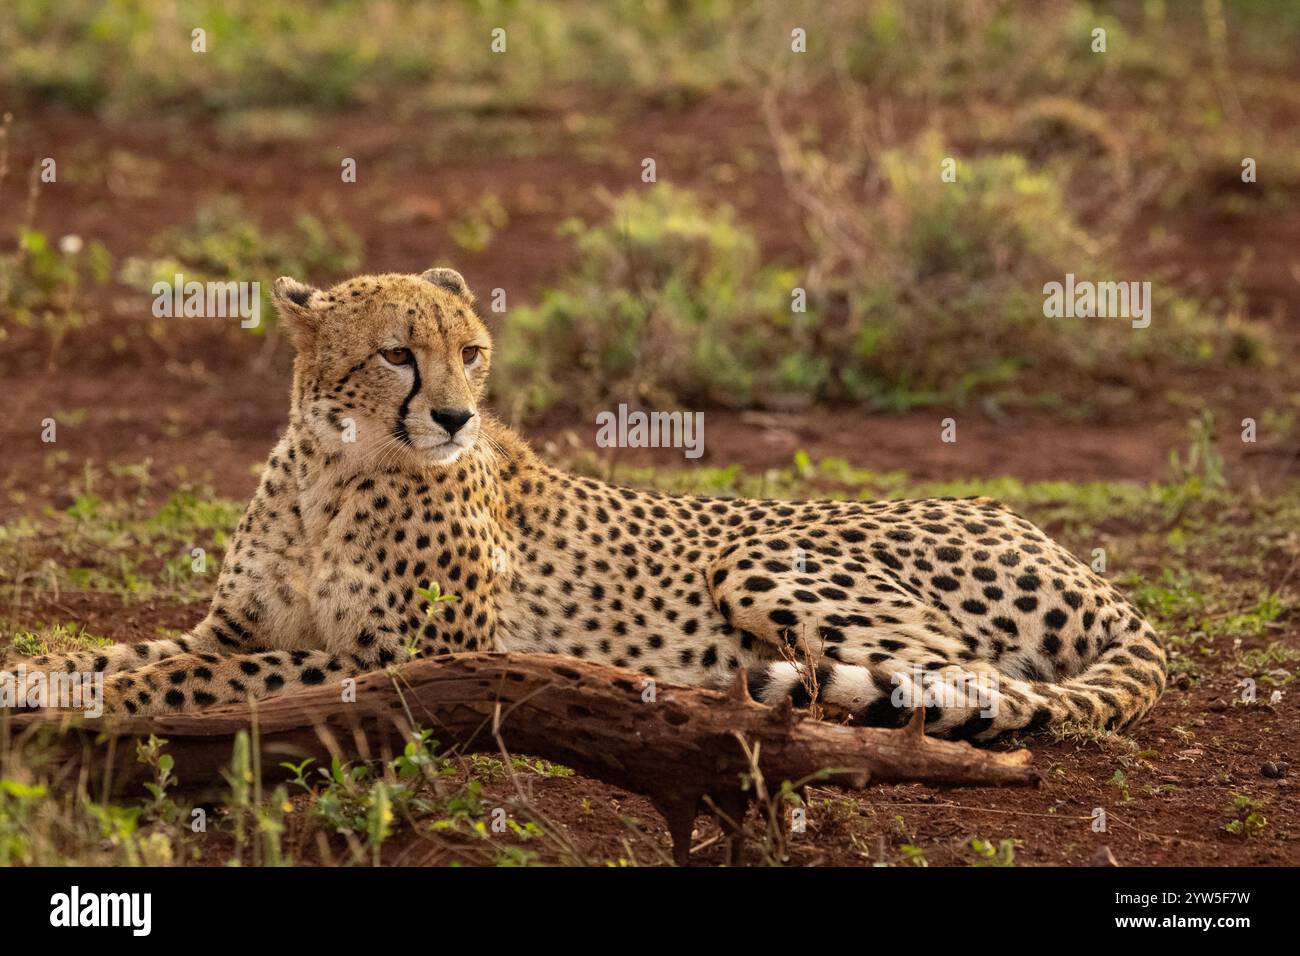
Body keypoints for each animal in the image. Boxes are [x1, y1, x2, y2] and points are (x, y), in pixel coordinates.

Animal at [5, 270, 1170, 738]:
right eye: (398, 353)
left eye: (471, 350)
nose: (457, 416)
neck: (332, 474)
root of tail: (1041, 532)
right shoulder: (239, 622)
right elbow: (125, 651)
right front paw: (37, 675)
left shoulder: (409, 657)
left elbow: (198, 677)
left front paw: (103, 698)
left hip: (762, 558)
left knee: (976, 684)